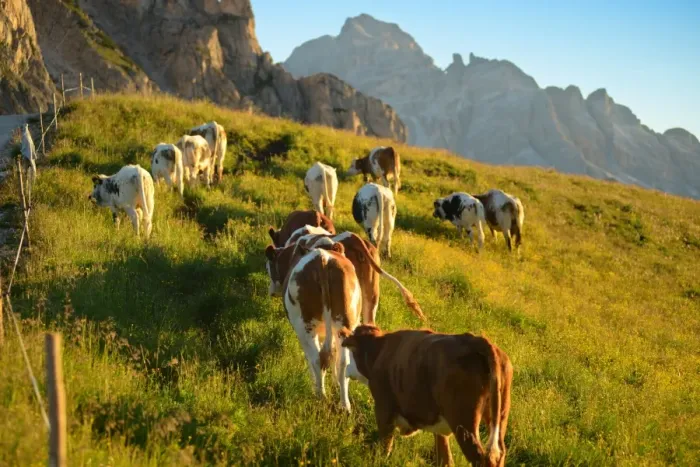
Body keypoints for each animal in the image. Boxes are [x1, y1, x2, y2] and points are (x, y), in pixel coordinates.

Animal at [265, 242, 361, 411]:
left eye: (268, 267)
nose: (271, 291)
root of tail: (322, 258)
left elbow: (310, 358)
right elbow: (334, 354)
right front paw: (335, 383)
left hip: (306, 326)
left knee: (317, 358)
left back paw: (320, 395)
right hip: (344, 323)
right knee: (343, 362)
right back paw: (345, 405)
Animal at [342, 325, 513, 467]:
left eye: (352, 352)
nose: (347, 369)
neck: (380, 351)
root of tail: (477, 341)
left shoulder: (383, 409)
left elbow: (385, 445)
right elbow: (444, 458)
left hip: (463, 422)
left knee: (481, 457)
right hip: (498, 418)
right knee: (499, 453)